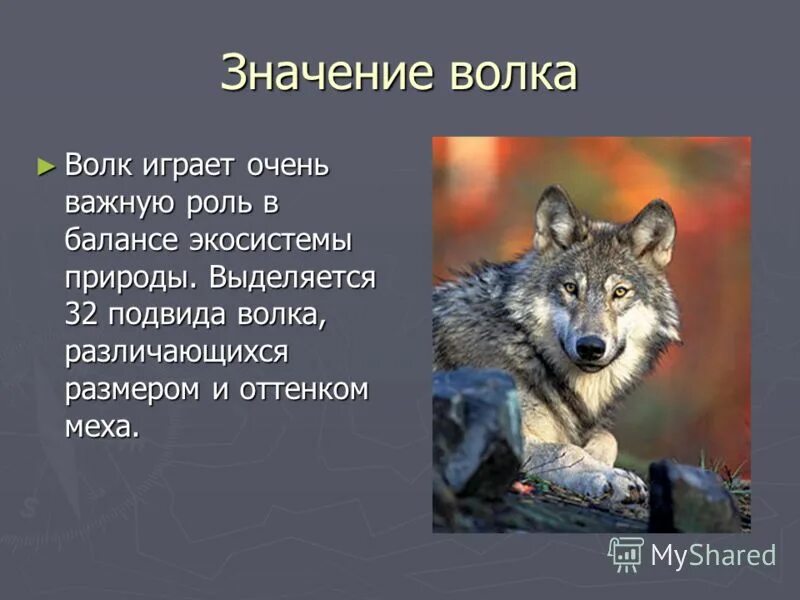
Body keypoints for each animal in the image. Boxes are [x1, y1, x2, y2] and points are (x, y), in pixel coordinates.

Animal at [433, 185, 681, 502]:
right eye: (571, 288)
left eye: (620, 292)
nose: (590, 347)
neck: (527, 348)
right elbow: (565, 449)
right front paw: (609, 477)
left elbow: (607, 438)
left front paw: (601, 461)